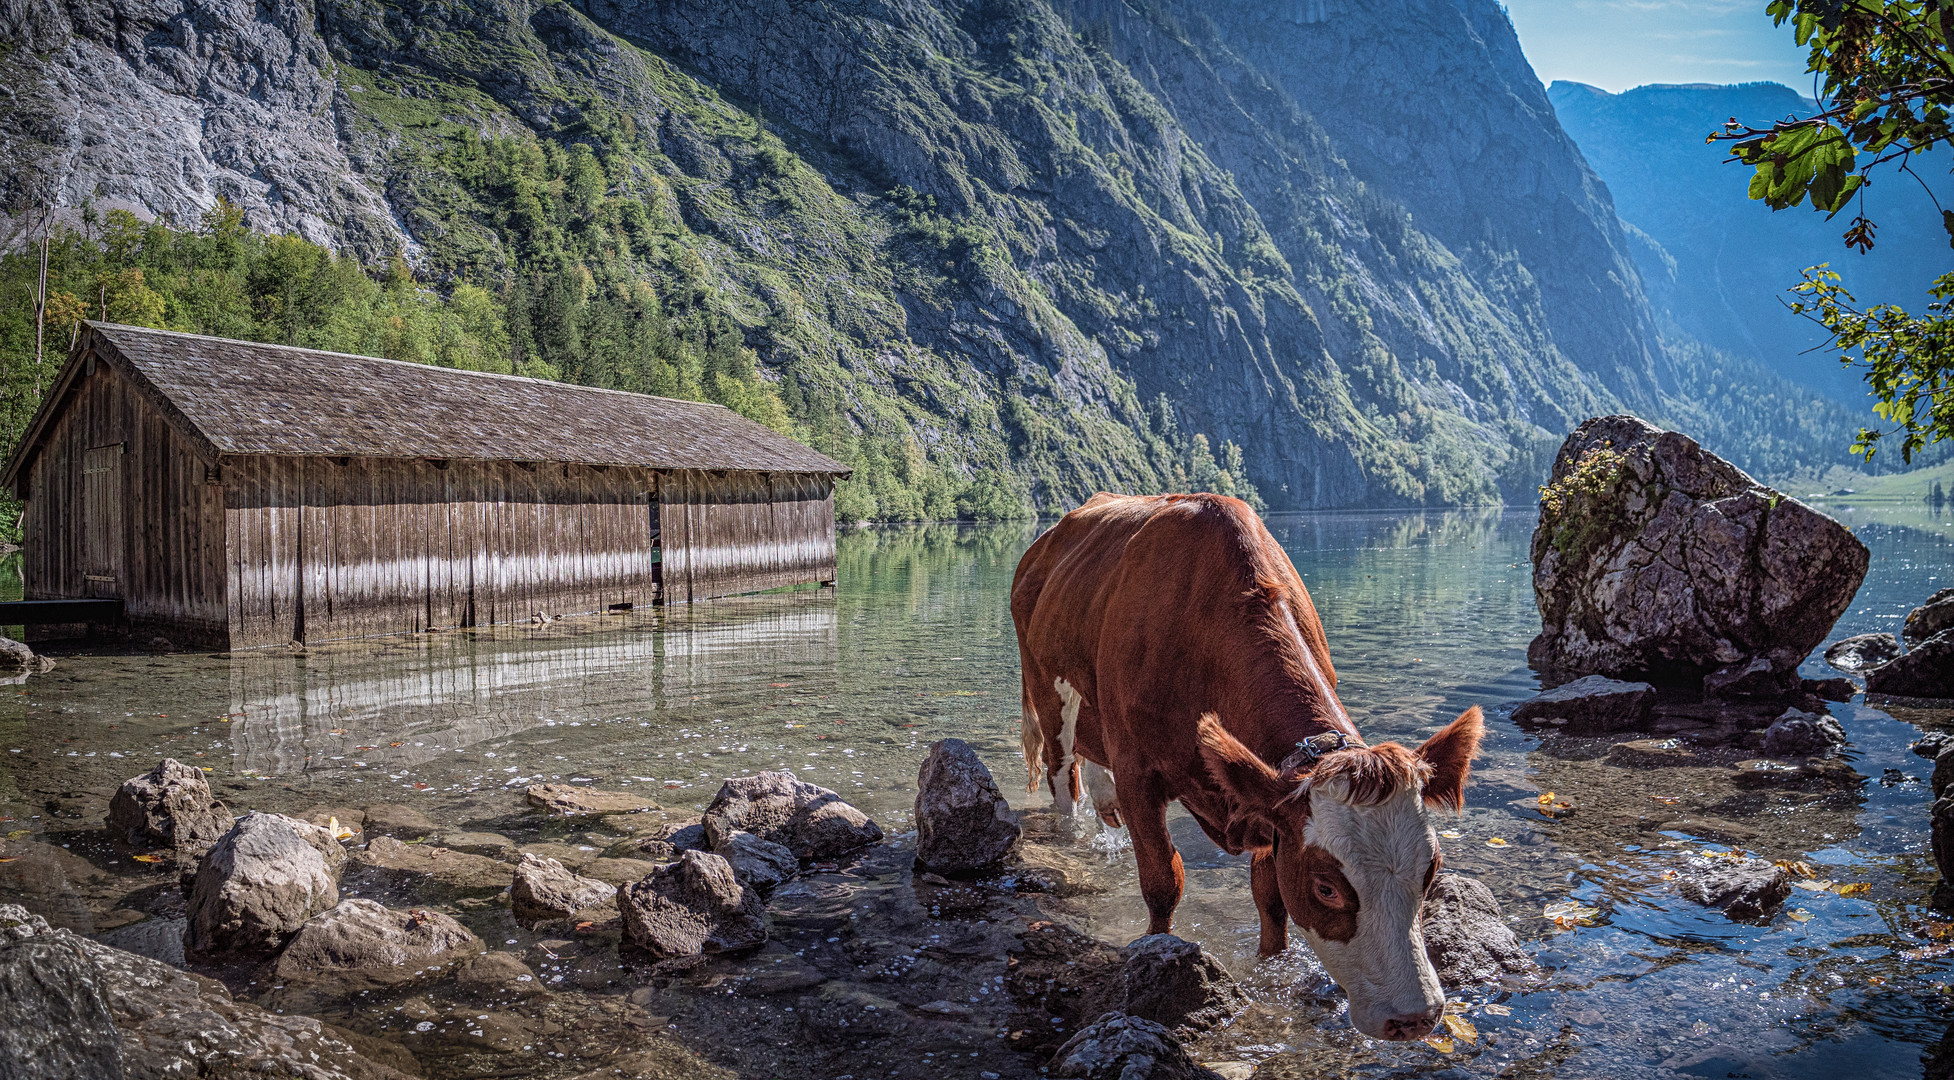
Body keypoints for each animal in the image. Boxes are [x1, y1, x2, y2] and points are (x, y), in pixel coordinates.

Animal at [1008, 492, 1477, 1038]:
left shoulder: (1270, 803)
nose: (1416, 1016)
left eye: (1431, 871)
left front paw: (1272, 968)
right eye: (1326, 888)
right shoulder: (1138, 770)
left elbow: (1269, 897)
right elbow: (1163, 882)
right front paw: (1152, 947)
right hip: (1046, 690)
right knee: (1064, 779)